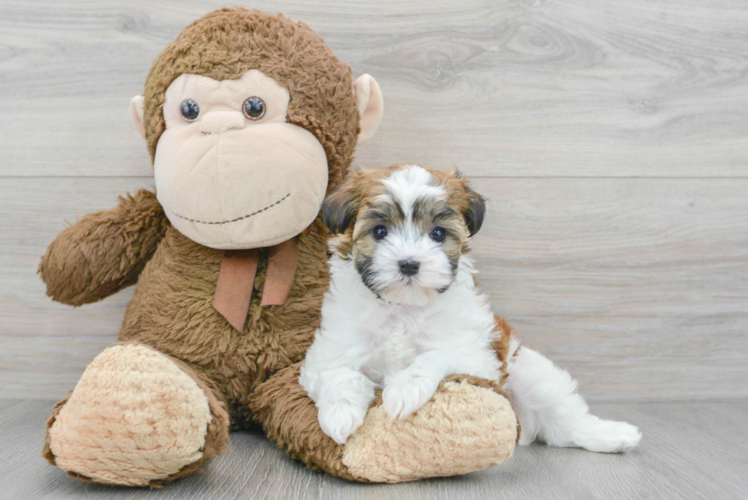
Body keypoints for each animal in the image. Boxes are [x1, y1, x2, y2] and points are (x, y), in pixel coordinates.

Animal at [300, 165, 644, 454]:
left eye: (438, 233)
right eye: (380, 231)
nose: (409, 264)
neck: (404, 307)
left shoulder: (476, 358)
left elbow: (436, 355)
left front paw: (406, 388)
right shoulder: (327, 354)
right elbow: (339, 375)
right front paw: (340, 413)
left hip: (529, 374)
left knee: (564, 419)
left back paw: (612, 436)